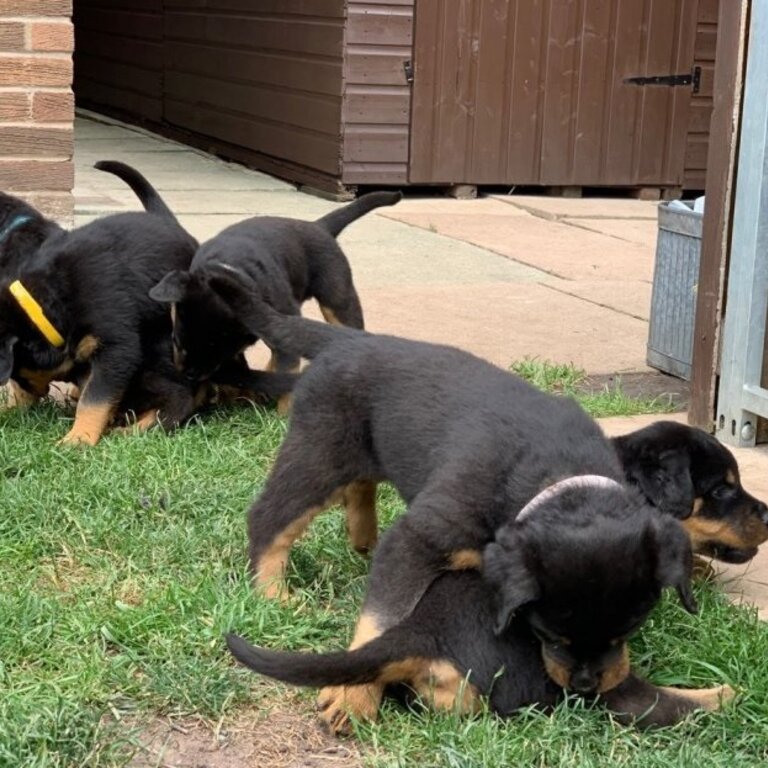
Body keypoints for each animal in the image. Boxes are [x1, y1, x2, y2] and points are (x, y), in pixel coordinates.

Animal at [148, 190, 404, 412]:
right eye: (176, 341)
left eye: (216, 352)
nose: (188, 375)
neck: (229, 269)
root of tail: (318, 226)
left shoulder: (283, 331)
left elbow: (286, 377)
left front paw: (282, 415)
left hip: (338, 298)